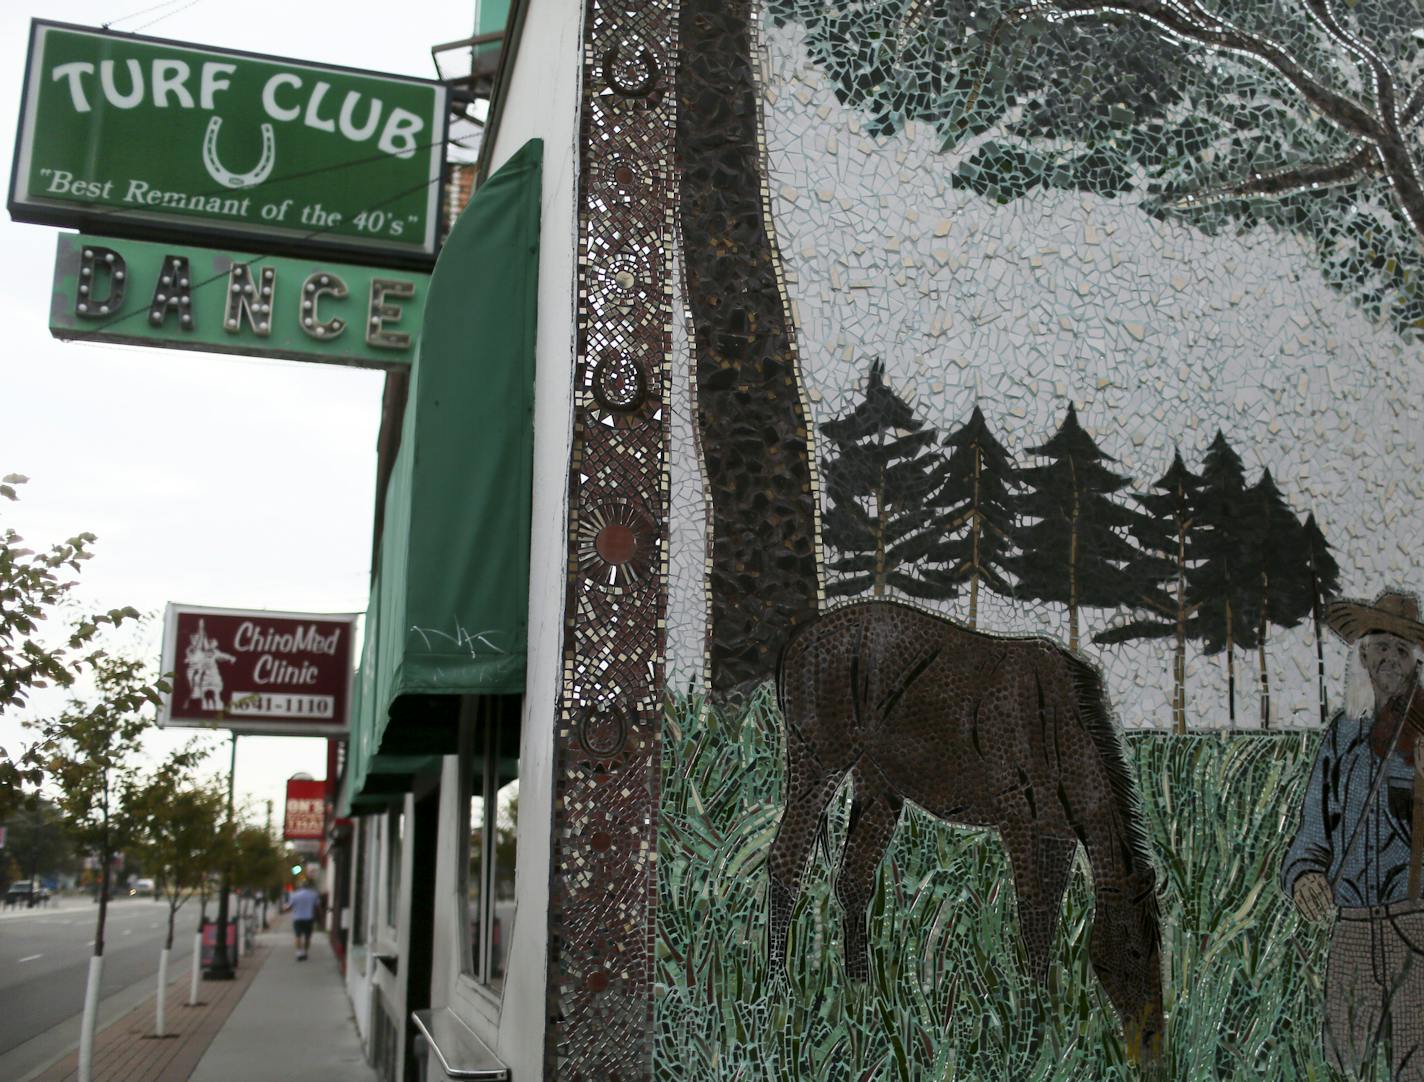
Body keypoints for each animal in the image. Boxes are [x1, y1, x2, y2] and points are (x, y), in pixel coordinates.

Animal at [774, 600, 1161, 1064]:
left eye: (1159, 952)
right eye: (1134, 952)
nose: (1151, 1046)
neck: (1059, 727)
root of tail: (799, 639)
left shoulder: (1058, 835)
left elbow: (1047, 922)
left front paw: (1045, 1018)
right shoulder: (1021, 824)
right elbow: (1034, 920)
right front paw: (1033, 1025)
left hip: (877, 781)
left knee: (852, 882)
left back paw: (862, 994)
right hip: (818, 762)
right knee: (786, 863)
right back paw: (778, 988)